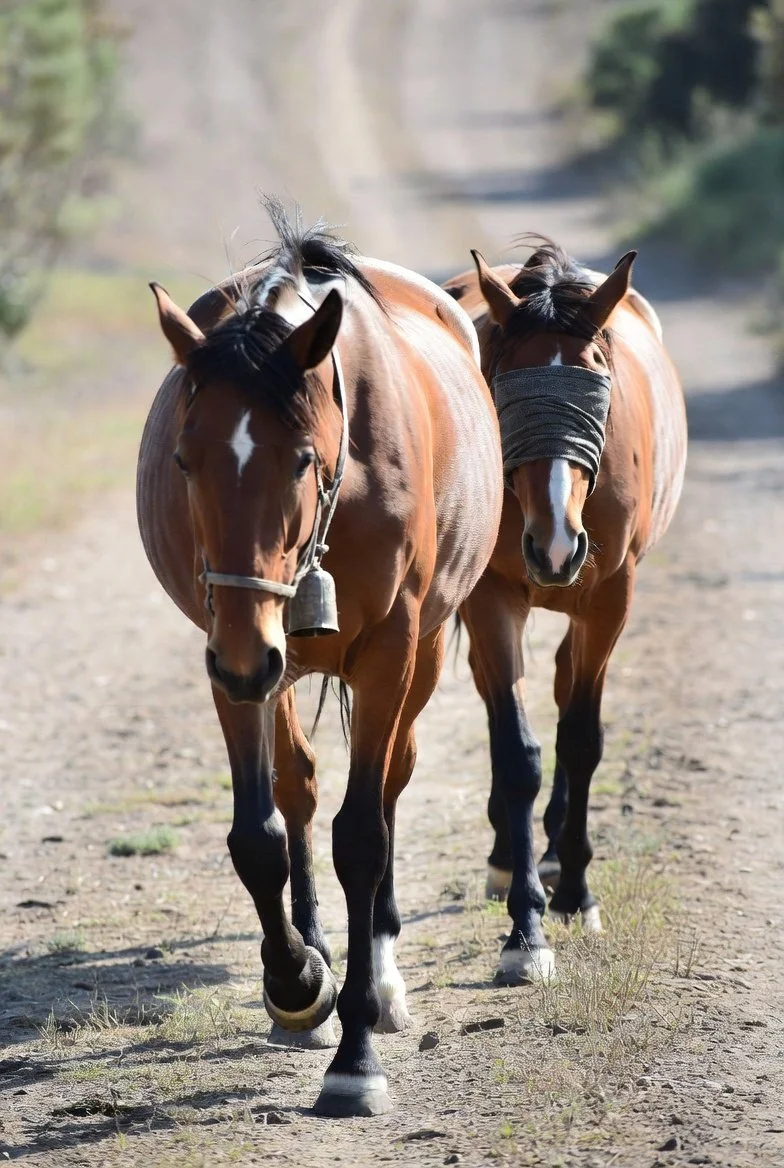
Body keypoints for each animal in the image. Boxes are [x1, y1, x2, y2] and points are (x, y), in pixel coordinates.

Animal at [136, 201, 503, 1117]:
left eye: (301, 459)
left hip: (414, 654)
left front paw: (356, 1053)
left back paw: (382, 970)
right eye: (185, 460)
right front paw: (297, 978)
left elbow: (364, 836)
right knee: (298, 789)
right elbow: (260, 835)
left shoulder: (388, 651)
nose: (245, 656)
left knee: (392, 782)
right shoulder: (232, 652)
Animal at [442, 240, 687, 984]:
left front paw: (577, 891)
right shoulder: (492, 599)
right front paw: (525, 932)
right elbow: (516, 753)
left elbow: (580, 740)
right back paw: (509, 857)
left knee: (563, 686)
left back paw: (553, 855)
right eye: (506, 382)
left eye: (597, 378)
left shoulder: (609, 599)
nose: (555, 546)